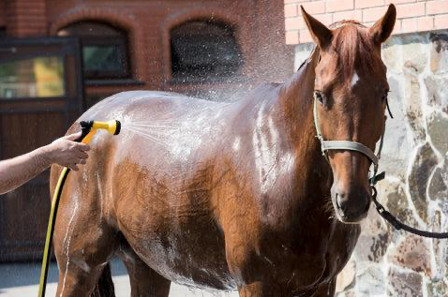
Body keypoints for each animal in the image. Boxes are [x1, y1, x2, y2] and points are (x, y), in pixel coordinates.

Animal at [50, 5, 398, 296]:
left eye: (383, 93)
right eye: (321, 95)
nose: (351, 199)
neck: (277, 163)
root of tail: (86, 124)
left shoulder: (322, 285)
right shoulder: (257, 284)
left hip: (147, 265)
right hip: (77, 265)